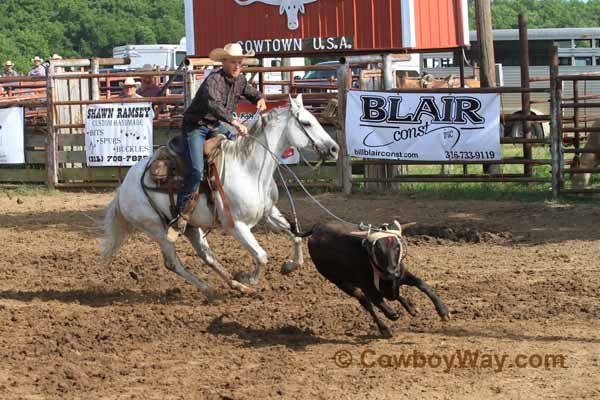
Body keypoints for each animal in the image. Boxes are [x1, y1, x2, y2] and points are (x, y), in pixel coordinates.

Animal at [298, 222, 448, 338]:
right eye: (378, 250)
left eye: (397, 246)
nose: (392, 272)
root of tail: (316, 229)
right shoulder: (367, 286)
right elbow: (378, 302)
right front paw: (391, 313)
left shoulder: (402, 275)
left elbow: (422, 284)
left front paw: (443, 311)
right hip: (340, 281)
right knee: (366, 301)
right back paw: (384, 328)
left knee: (393, 295)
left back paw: (411, 309)